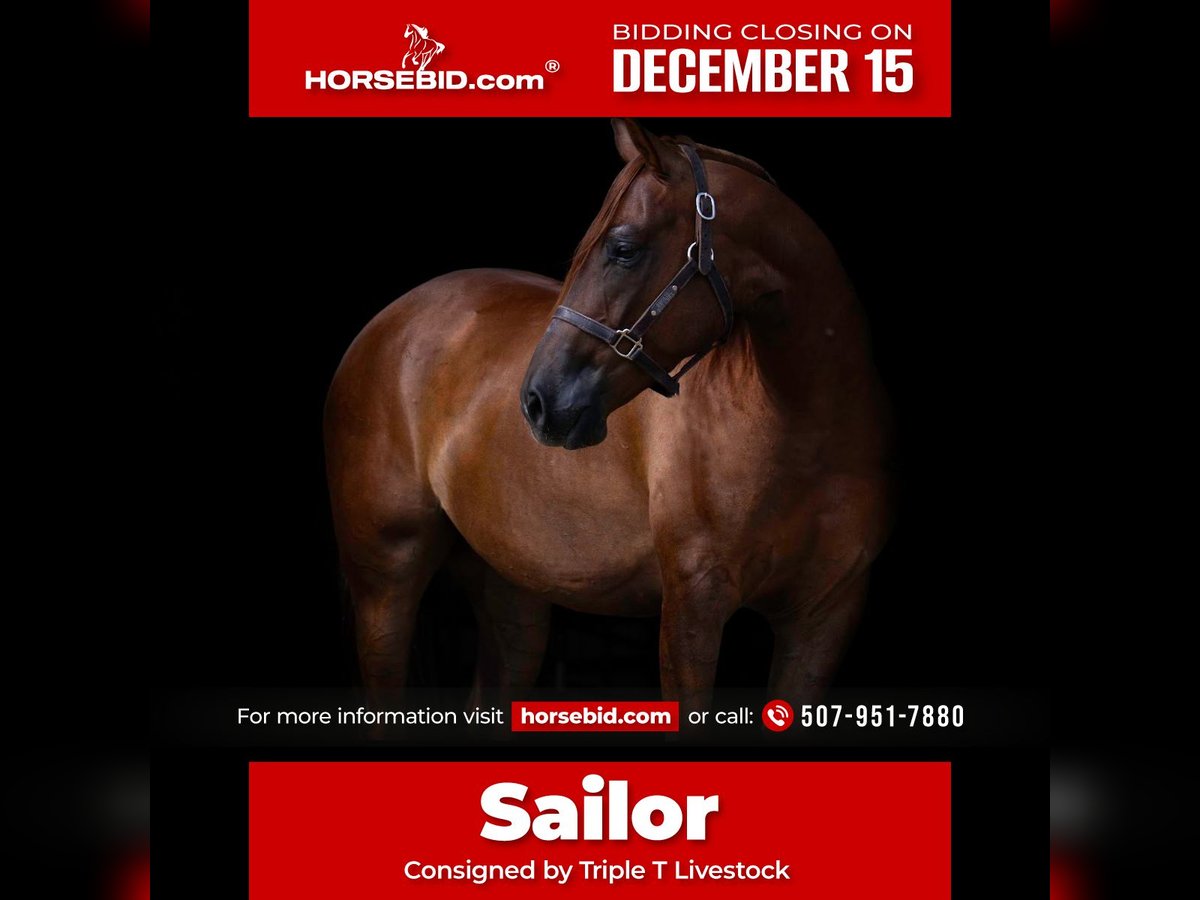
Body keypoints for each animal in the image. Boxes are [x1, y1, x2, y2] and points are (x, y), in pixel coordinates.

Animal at [324, 120, 893, 717]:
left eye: (622, 249)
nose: (537, 400)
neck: (805, 437)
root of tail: (387, 322)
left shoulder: (824, 619)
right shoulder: (694, 604)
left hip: (511, 591)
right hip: (386, 584)